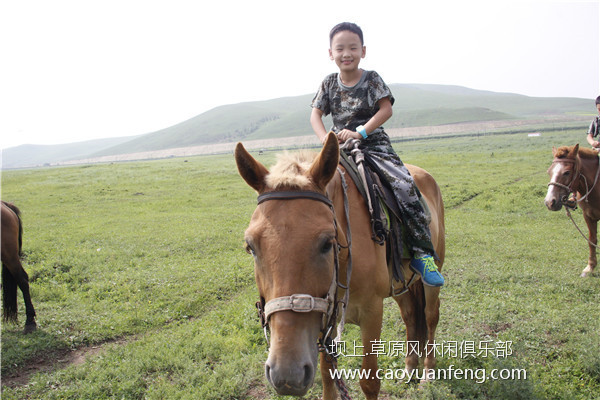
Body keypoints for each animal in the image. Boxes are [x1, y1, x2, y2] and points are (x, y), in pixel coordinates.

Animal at [236, 133, 446, 398]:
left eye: (328, 243)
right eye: (250, 246)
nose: (287, 375)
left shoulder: (372, 312)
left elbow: (369, 381)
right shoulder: (322, 315)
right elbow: (328, 376)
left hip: (433, 275)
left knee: (430, 317)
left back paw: (428, 371)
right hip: (401, 285)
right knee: (410, 317)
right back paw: (409, 370)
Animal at [548, 145, 596, 278]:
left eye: (567, 172)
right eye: (549, 171)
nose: (549, 202)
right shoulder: (588, 216)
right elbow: (592, 240)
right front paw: (590, 267)